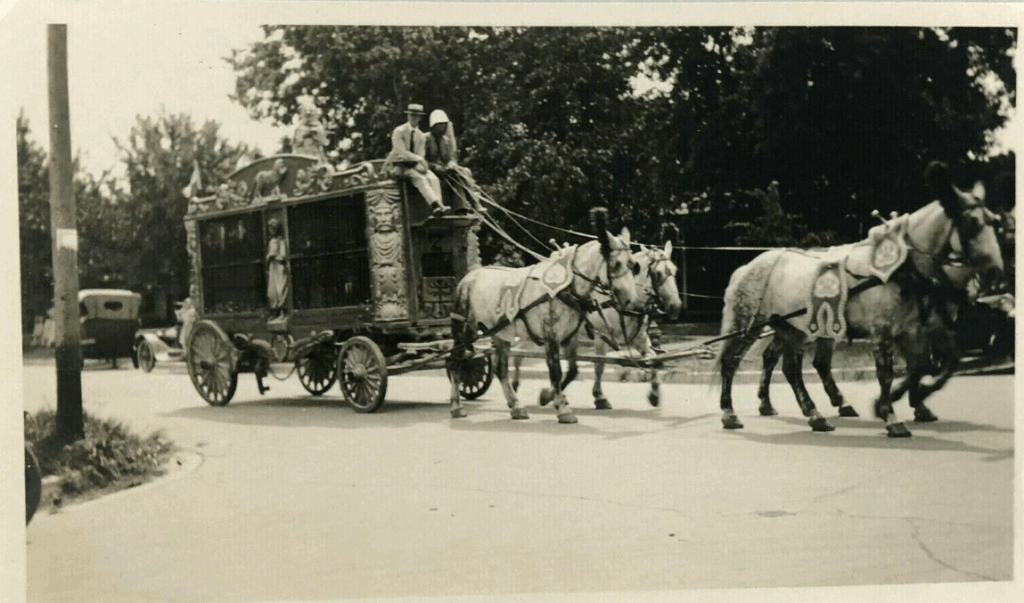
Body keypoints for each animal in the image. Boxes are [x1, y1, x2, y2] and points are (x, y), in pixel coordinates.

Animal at [447, 210, 641, 424]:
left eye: (634, 265)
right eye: (616, 264)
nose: (631, 302)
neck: (567, 287)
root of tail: (468, 277)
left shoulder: (569, 337)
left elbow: (572, 370)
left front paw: (550, 397)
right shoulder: (551, 337)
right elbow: (555, 371)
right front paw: (562, 408)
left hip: (500, 333)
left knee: (501, 369)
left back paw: (516, 406)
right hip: (465, 330)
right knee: (455, 361)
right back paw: (456, 406)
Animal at [509, 241, 683, 409]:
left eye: (675, 270)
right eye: (657, 273)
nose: (676, 306)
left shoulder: (638, 339)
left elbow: (652, 358)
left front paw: (654, 394)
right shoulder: (601, 335)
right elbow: (599, 366)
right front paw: (599, 397)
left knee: (521, 353)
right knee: (518, 354)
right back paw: (516, 386)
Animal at [717, 162, 1004, 437]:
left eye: (994, 222)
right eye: (972, 223)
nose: (996, 272)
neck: (902, 268)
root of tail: (749, 265)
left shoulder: (914, 330)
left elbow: (922, 365)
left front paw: (913, 402)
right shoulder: (884, 330)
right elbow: (888, 373)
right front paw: (890, 415)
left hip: (793, 327)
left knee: (790, 366)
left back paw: (813, 414)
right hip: (749, 323)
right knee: (732, 361)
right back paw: (730, 413)